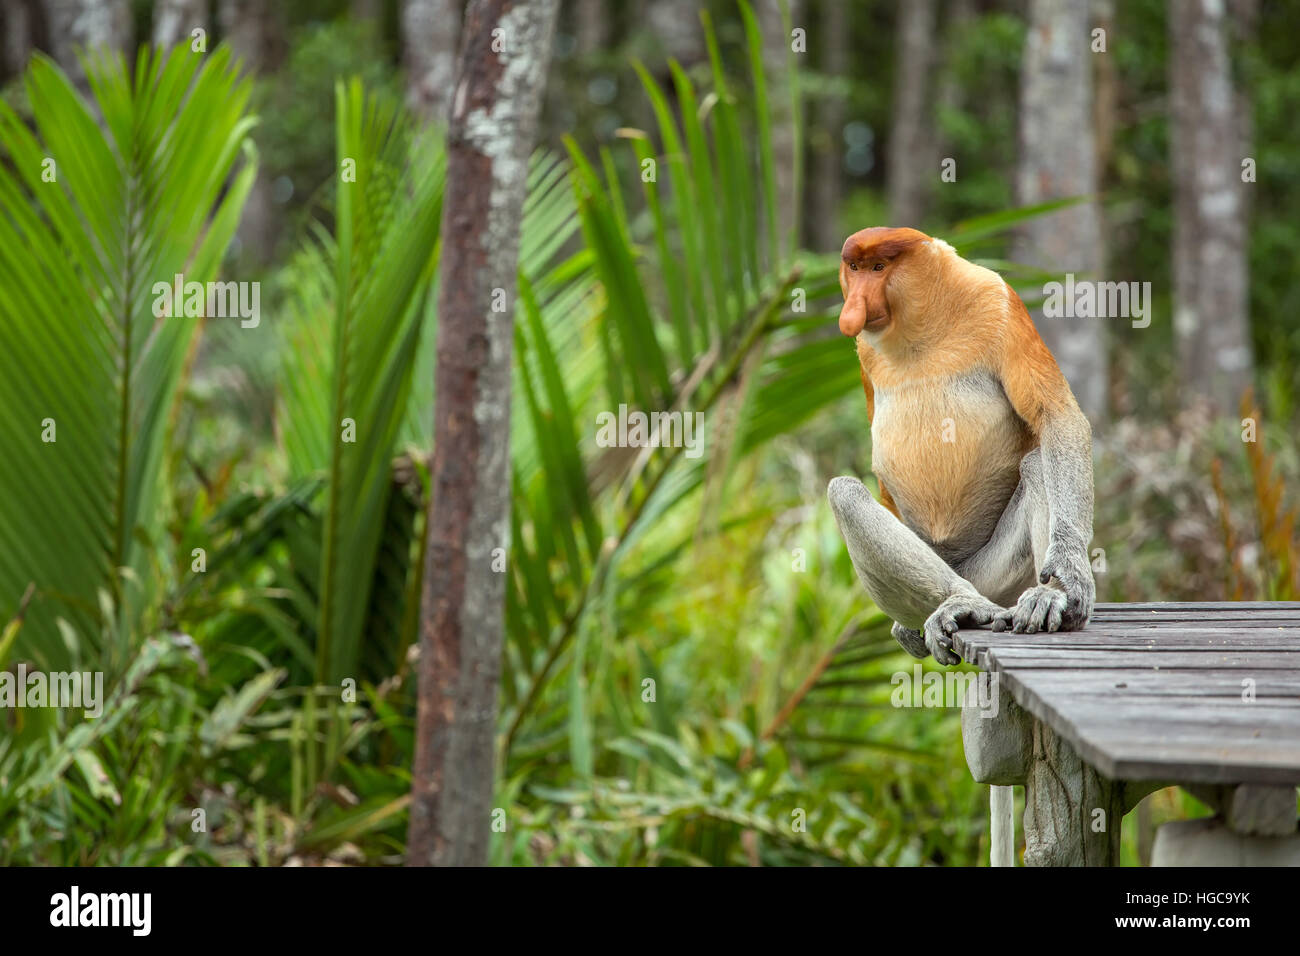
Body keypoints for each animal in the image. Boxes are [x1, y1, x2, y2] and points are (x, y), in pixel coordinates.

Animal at [826, 226, 1095, 665]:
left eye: (879, 268)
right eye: (854, 268)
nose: (854, 308)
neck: (921, 325)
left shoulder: (998, 303)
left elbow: (1055, 416)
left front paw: (1069, 577)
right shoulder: (864, 352)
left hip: (995, 576)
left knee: (1038, 463)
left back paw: (1041, 599)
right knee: (845, 493)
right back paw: (959, 604)